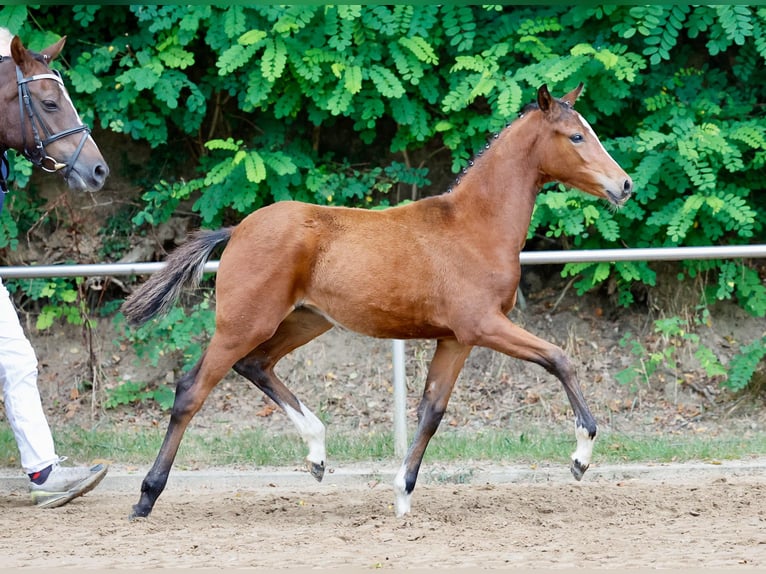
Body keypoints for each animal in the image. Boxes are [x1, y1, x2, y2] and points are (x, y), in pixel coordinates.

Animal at [123, 82, 632, 520]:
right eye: (576, 136)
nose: (624, 185)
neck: (474, 227)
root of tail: (237, 229)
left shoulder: (456, 339)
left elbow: (431, 411)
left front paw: (402, 495)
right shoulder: (483, 325)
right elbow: (559, 358)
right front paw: (581, 457)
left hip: (306, 321)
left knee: (256, 365)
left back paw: (317, 453)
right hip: (243, 323)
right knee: (193, 389)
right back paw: (146, 497)